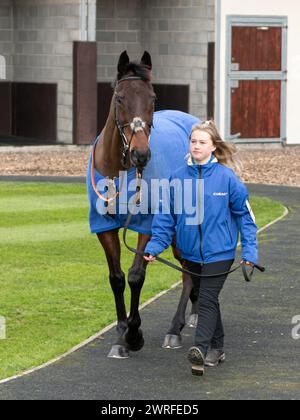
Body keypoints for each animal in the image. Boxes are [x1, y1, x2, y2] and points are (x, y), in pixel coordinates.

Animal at [86, 50, 199, 358]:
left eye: (153, 97)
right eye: (119, 98)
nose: (140, 154)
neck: (120, 170)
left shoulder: (149, 223)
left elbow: (136, 275)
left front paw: (135, 334)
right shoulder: (104, 227)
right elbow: (116, 277)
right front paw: (121, 333)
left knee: (192, 266)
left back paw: (176, 327)